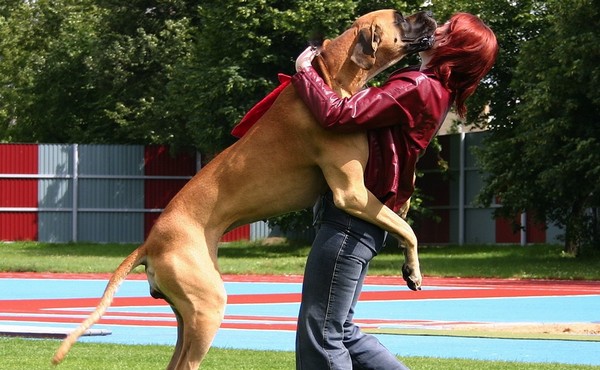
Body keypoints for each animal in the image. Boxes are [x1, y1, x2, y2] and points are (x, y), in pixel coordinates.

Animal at [52, 9, 436, 370]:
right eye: (400, 18)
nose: (430, 14)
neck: (332, 76)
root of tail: (150, 242)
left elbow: (399, 217)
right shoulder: (352, 192)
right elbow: (408, 229)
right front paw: (413, 270)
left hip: (187, 315)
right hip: (208, 307)